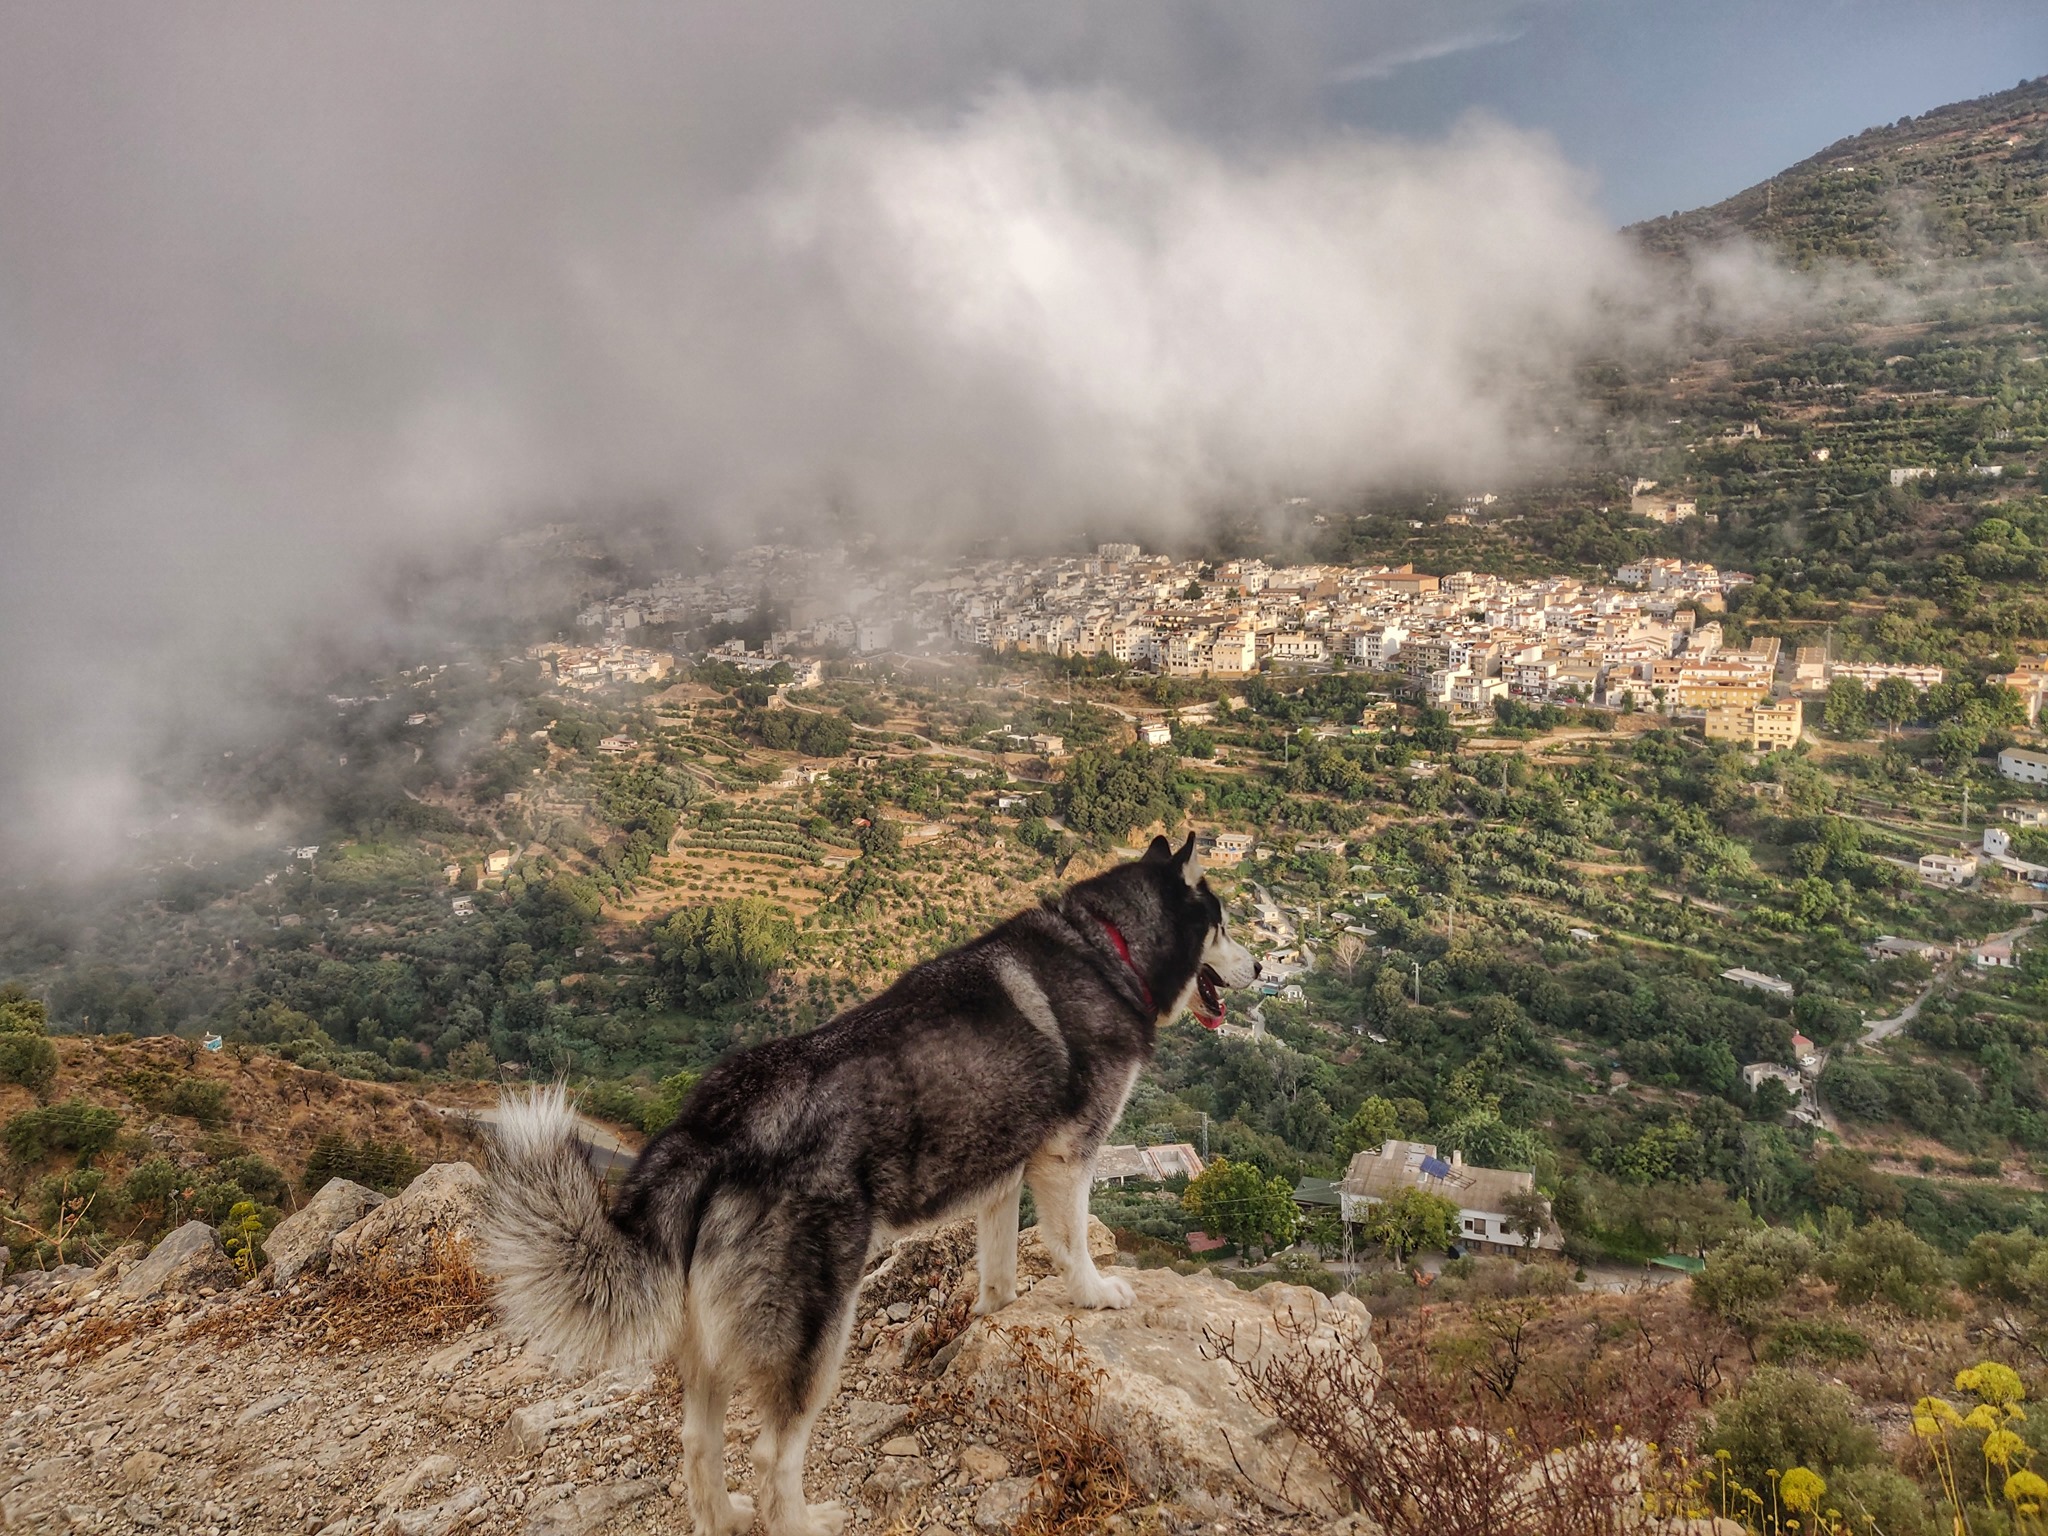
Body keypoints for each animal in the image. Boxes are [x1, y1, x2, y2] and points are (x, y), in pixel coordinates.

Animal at [487, 843, 1253, 1536]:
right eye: (1223, 923)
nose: (1261, 967)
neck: (1108, 945)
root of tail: (713, 1126)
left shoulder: (1002, 1177)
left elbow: (998, 1269)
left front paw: (991, 1317)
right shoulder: (1067, 1157)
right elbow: (1070, 1245)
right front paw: (1096, 1293)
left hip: (710, 1336)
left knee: (700, 1443)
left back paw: (723, 1517)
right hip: (815, 1329)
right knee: (772, 1456)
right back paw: (804, 1522)